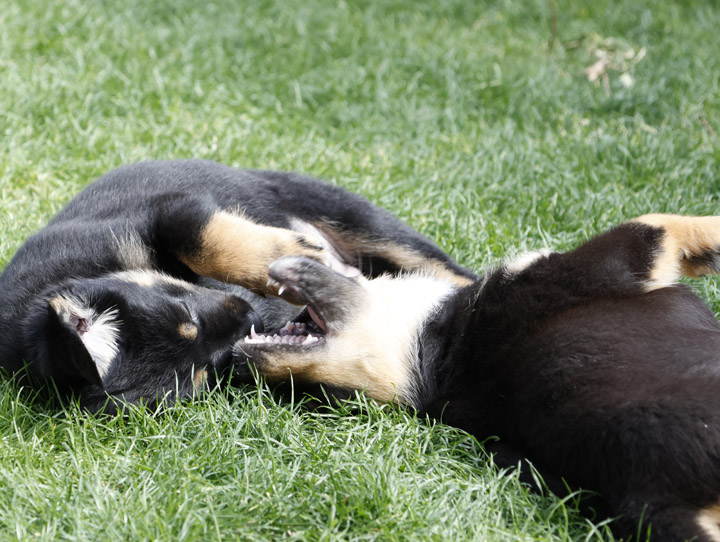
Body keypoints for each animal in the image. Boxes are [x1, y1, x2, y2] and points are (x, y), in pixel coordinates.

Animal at [0, 159, 476, 414]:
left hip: (363, 221)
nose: (250, 318)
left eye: (187, 316)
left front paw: (291, 254)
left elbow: (204, 241)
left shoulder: (172, 210)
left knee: (456, 274)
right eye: (206, 373)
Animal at [238, 215, 720, 540]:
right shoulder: (603, 263)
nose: (239, 364)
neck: (431, 349)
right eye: (321, 394)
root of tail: (650, 496)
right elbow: (667, 223)